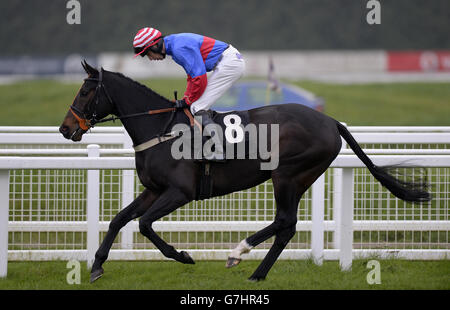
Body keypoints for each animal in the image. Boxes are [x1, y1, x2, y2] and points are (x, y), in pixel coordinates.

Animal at [58, 60, 430, 284]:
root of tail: (331, 121)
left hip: (288, 175)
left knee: (283, 221)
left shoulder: (180, 192)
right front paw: (97, 265)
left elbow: (145, 224)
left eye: (86, 90)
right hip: (300, 178)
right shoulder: (154, 189)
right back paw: (258, 273)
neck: (161, 129)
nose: (65, 128)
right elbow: (119, 219)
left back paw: (239, 253)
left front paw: (183, 256)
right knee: (286, 227)